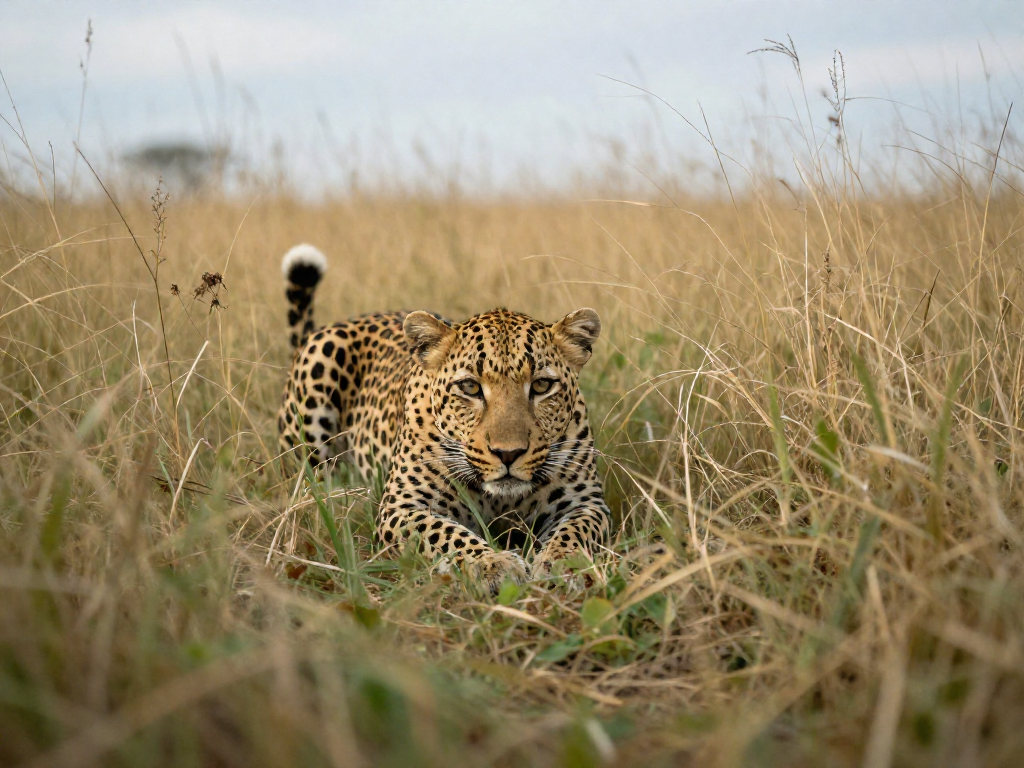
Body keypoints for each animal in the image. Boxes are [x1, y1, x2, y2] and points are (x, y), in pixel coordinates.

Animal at [277, 243, 611, 592]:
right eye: (470, 387)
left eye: (542, 386)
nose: (508, 454)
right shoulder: (404, 506)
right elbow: (448, 536)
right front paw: (493, 564)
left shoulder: (585, 501)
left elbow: (575, 533)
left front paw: (563, 565)